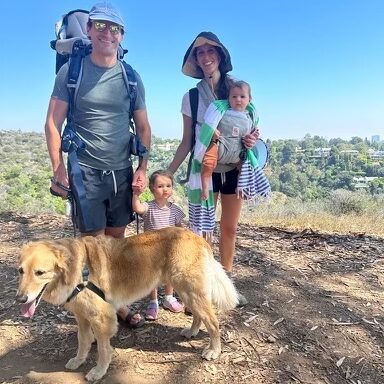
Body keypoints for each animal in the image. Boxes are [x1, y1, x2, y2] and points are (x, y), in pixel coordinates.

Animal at [16, 228, 238, 380]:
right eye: (20, 271)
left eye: (40, 272)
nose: (20, 299)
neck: (77, 271)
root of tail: (197, 237)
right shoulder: (82, 317)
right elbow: (83, 342)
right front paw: (79, 361)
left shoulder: (101, 319)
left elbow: (103, 350)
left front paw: (98, 371)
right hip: (185, 290)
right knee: (200, 315)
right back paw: (192, 331)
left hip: (190, 290)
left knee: (213, 322)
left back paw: (214, 350)